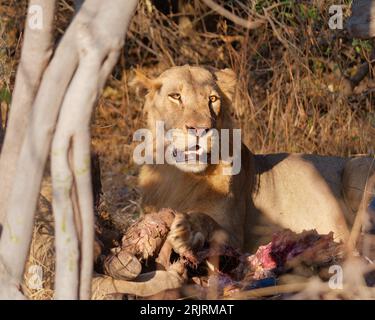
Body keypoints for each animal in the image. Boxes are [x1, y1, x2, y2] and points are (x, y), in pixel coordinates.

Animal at [133, 64, 375, 255]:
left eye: (212, 99)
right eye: (175, 96)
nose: (201, 129)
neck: (179, 177)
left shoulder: (235, 238)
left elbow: (209, 221)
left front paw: (187, 230)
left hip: (356, 167)